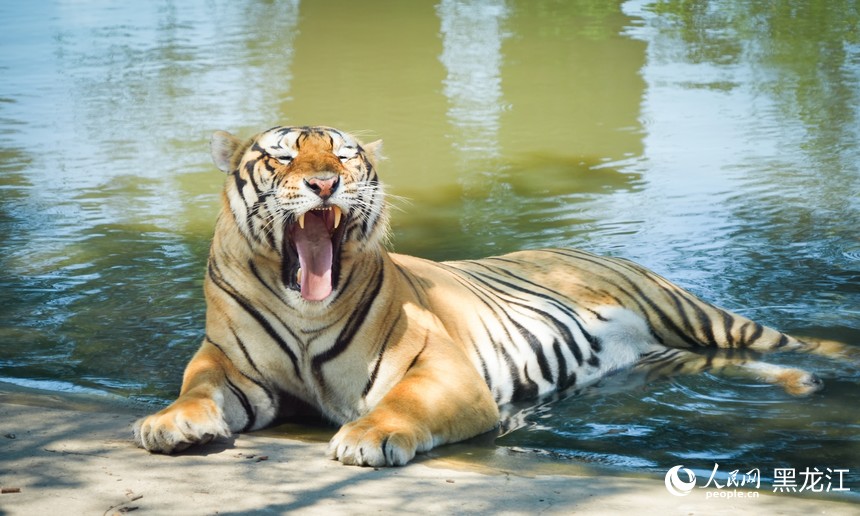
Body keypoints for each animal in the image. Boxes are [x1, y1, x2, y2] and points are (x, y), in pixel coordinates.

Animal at [133, 125, 851, 467]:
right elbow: (197, 389)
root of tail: (590, 249)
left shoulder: (439, 368)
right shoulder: (230, 365)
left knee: (791, 342)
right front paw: (170, 423)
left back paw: (832, 367)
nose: (324, 185)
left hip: (698, 316)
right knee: (746, 363)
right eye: (282, 159)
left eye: (344, 156)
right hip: (669, 358)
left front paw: (367, 438)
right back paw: (803, 386)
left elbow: (400, 404)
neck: (303, 307)